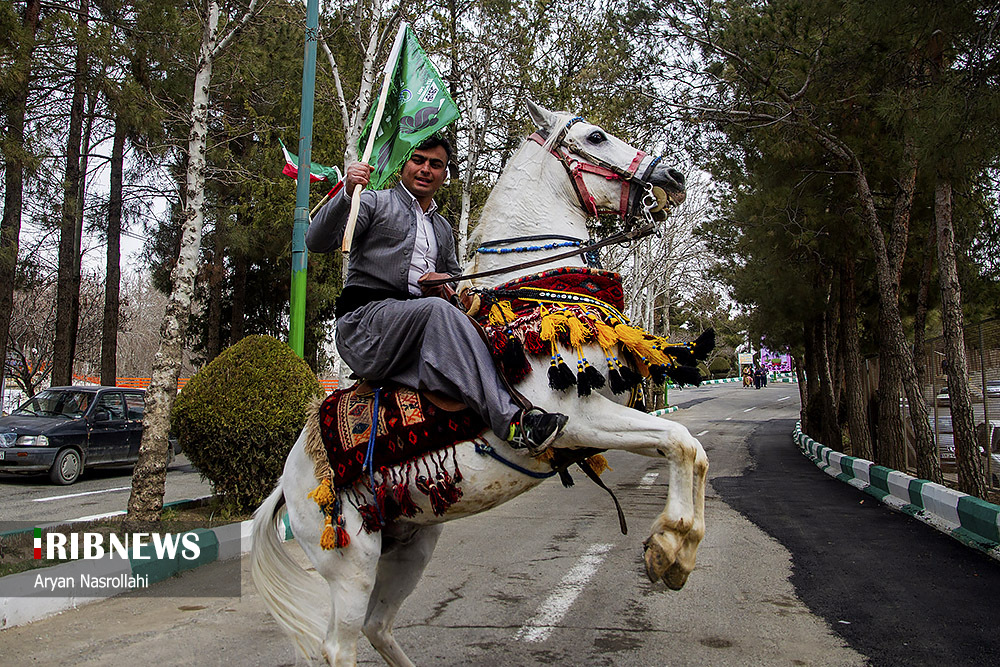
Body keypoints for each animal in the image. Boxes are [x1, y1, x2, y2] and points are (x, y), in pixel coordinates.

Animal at [254, 102, 708, 664]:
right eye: (595, 136)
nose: (674, 178)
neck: (536, 296)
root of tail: (292, 477)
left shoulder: (608, 418)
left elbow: (690, 449)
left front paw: (677, 555)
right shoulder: (581, 419)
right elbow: (680, 442)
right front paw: (668, 546)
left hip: (411, 542)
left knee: (379, 626)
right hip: (350, 563)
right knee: (340, 645)